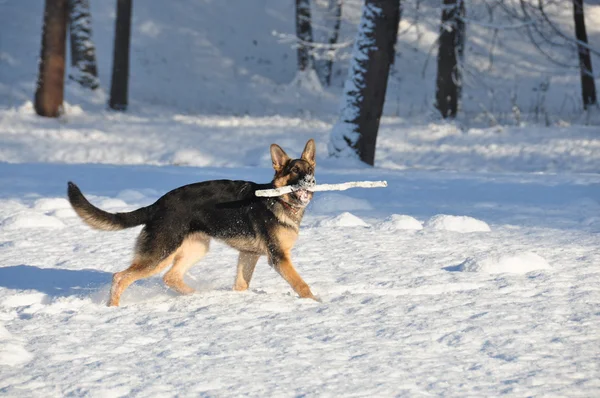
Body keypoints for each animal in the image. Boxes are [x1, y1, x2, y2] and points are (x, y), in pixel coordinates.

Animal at [68, 138, 318, 306]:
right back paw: (113, 308)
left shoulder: (249, 254)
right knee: (120, 277)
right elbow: (301, 283)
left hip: (197, 248)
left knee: (170, 277)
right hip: (161, 254)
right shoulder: (279, 258)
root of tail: (157, 204)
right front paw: (317, 302)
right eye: (294, 170)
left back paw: (196, 296)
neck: (279, 199)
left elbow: (241, 284)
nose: (311, 181)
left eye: (309, 169)